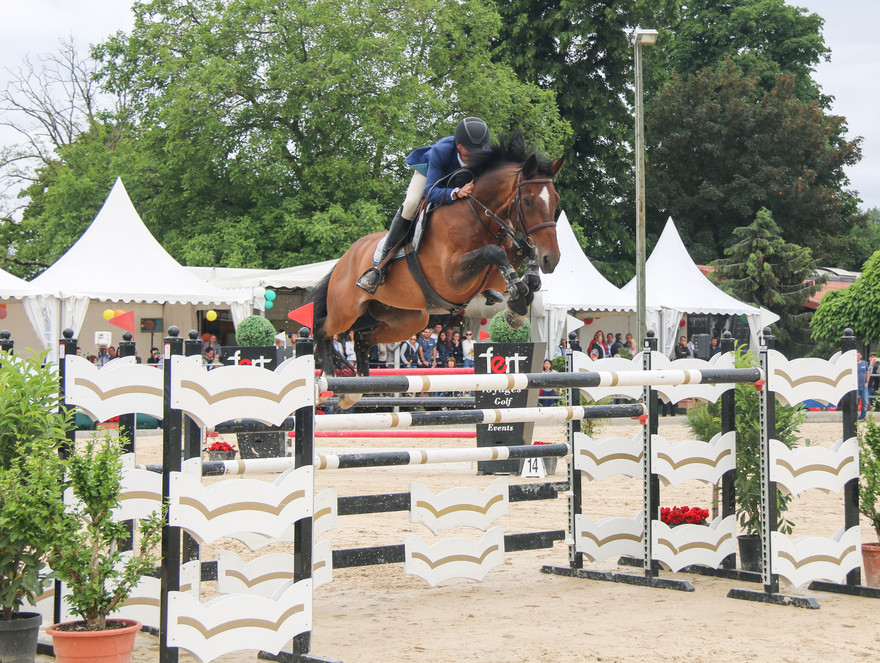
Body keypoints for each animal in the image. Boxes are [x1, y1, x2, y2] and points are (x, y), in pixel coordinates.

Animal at [308, 134, 565, 406]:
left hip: (407, 319)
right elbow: (494, 252)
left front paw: (517, 306)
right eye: (527, 201)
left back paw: (354, 392)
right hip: (347, 309)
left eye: (556, 200)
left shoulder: (493, 276)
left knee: (362, 339)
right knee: (324, 329)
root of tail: (344, 258)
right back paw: (327, 379)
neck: (477, 217)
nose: (552, 259)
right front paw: (518, 296)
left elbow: (521, 257)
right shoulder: (451, 279)